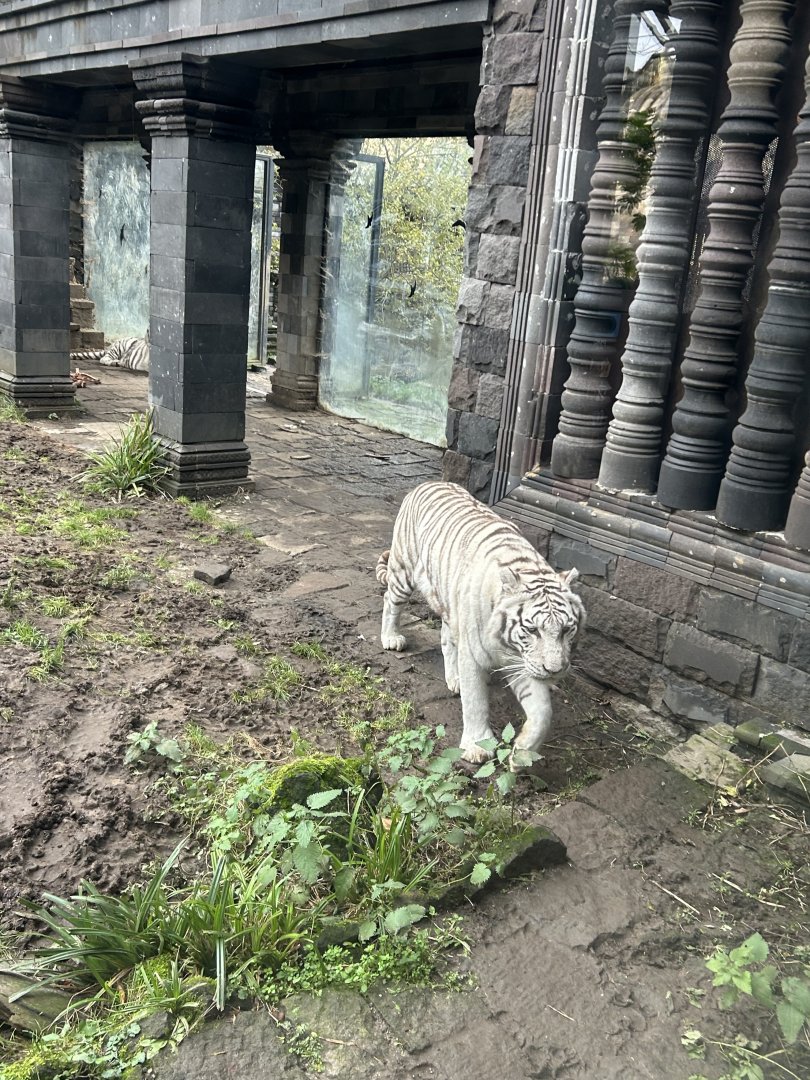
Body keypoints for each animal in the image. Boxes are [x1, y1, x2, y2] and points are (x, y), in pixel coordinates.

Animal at [377, 481, 585, 767]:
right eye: (532, 630)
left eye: (566, 629)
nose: (554, 671)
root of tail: (430, 482)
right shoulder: (477, 655)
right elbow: (475, 700)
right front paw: (476, 746)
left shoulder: (520, 662)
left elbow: (543, 711)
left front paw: (521, 753)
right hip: (403, 571)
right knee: (390, 600)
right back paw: (391, 637)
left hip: (450, 605)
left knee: (446, 638)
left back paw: (453, 678)